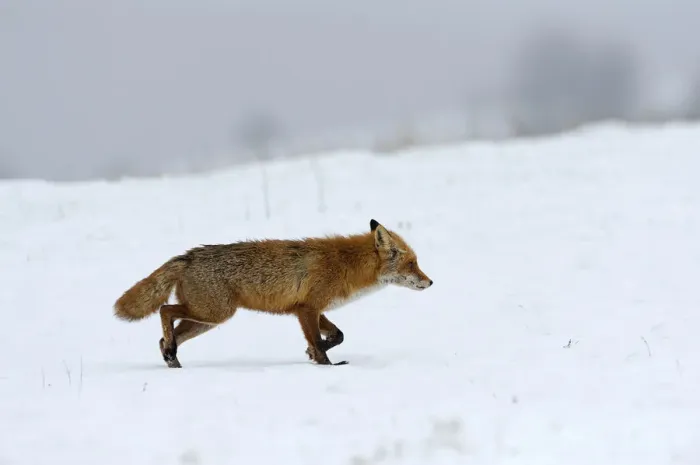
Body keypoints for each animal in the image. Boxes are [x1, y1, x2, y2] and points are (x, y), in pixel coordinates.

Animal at [113, 219, 433, 367]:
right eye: (412, 264)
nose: (430, 282)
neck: (346, 265)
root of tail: (188, 256)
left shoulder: (310, 308)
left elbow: (336, 335)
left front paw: (313, 354)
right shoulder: (306, 309)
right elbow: (320, 343)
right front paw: (326, 365)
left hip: (205, 321)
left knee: (165, 335)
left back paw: (173, 359)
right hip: (215, 313)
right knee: (164, 310)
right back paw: (171, 353)